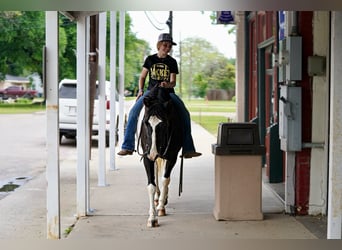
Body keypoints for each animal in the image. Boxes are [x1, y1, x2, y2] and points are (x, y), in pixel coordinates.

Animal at [138, 85, 183, 228]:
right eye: (146, 123)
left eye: (163, 124)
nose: (153, 152)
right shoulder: (147, 157)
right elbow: (151, 185)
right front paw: (152, 218)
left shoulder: (172, 156)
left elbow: (165, 180)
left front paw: (161, 208)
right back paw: (157, 198)